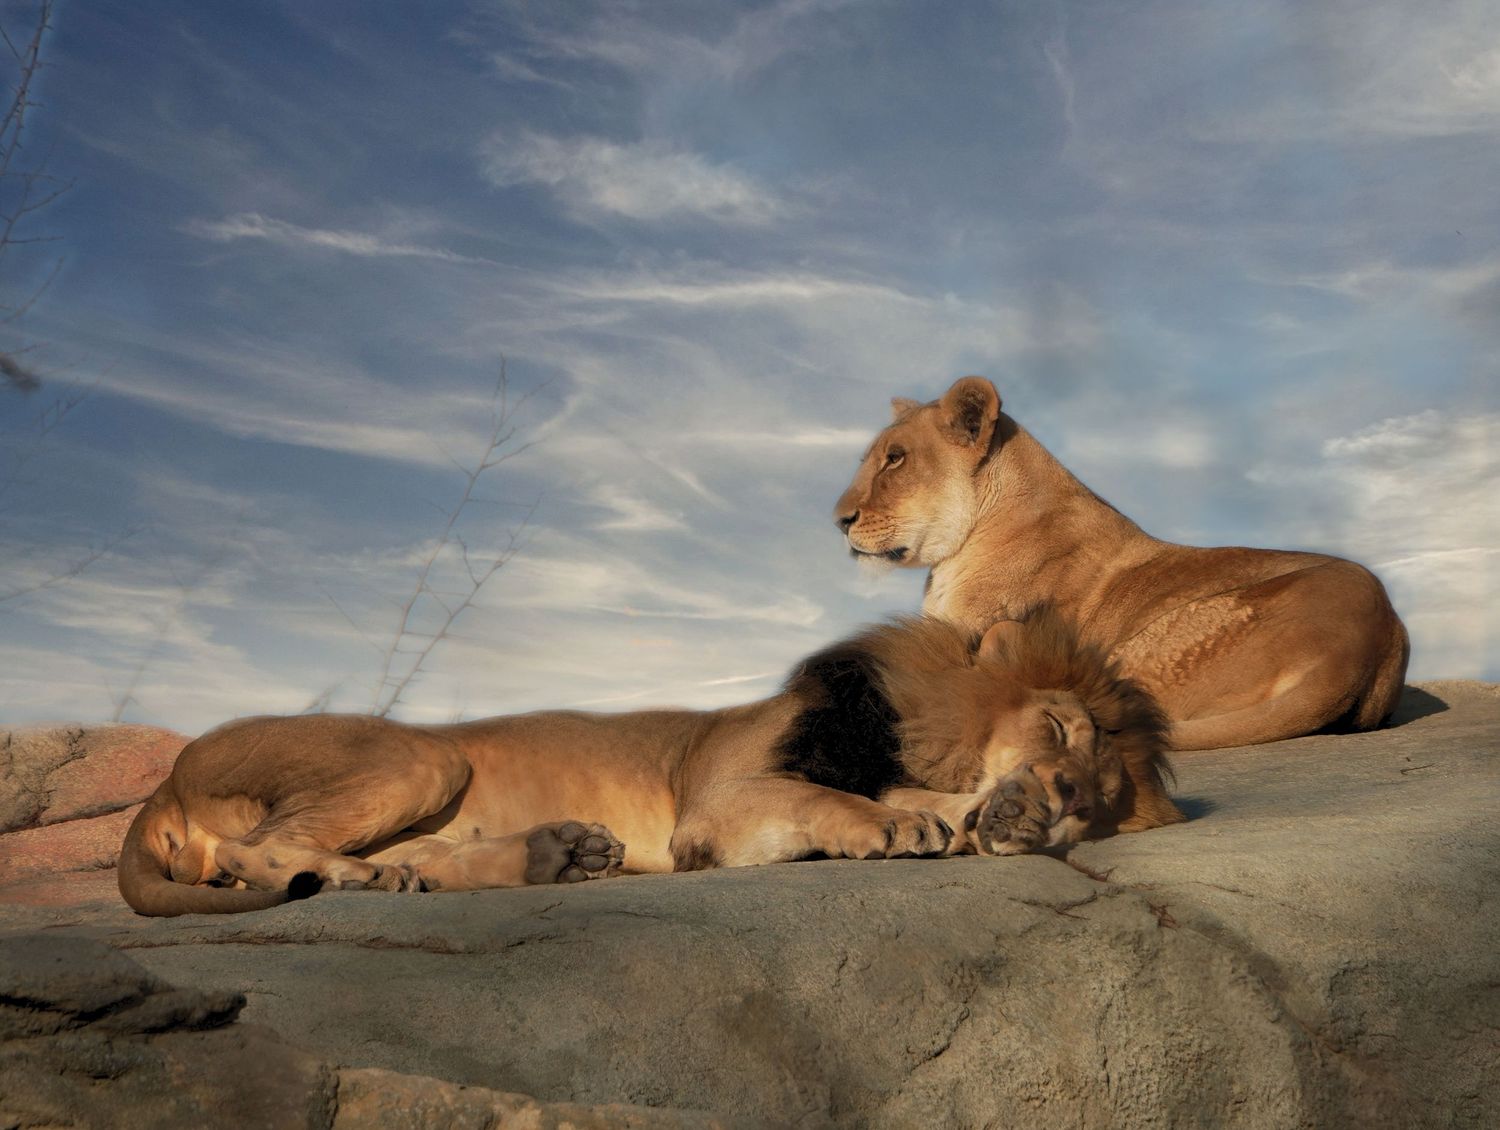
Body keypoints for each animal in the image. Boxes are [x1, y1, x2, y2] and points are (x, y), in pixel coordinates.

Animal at [118, 608, 1178, 916]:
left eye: (1101, 800)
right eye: (1059, 733)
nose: (1064, 798)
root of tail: (163, 781)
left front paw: (989, 820)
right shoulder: (719, 803)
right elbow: (823, 796)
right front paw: (895, 823)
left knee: (415, 859)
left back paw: (549, 856)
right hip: (417, 760)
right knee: (261, 849)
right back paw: (353, 876)